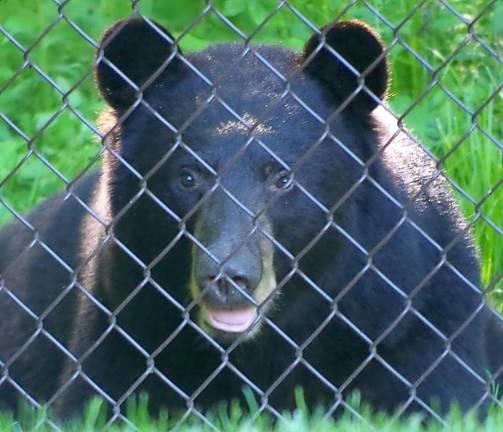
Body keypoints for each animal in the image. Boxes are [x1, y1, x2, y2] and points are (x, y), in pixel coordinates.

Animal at [0, 16, 503, 418]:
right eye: (187, 176)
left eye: (281, 178)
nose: (227, 278)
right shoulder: (124, 311)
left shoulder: (412, 307)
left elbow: (433, 393)